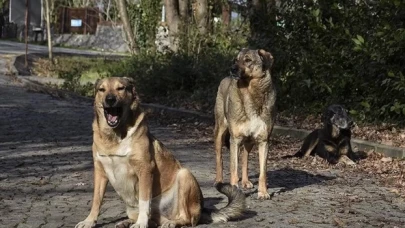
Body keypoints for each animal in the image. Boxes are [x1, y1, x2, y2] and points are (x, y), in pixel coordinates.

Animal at [75, 77, 246, 228]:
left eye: (120, 88)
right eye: (101, 90)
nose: (110, 99)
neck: (115, 136)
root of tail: (202, 209)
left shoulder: (145, 170)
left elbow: (144, 201)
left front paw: (141, 223)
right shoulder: (100, 171)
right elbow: (96, 200)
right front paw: (89, 221)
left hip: (184, 176)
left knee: (186, 219)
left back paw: (171, 222)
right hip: (132, 208)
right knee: (155, 220)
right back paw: (127, 222)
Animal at [213, 48, 276, 200]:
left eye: (248, 60)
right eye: (235, 60)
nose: (232, 69)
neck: (250, 92)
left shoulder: (263, 141)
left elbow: (262, 172)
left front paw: (263, 192)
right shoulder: (235, 140)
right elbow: (233, 169)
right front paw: (234, 190)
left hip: (249, 141)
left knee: (245, 158)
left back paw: (246, 181)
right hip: (220, 132)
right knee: (219, 158)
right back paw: (219, 181)